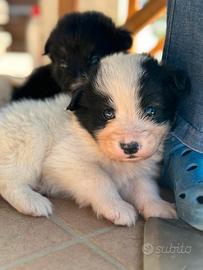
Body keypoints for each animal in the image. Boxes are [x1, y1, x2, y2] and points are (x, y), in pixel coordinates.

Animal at [0, 53, 187, 226]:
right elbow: (99, 178)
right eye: (108, 113)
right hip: (30, 136)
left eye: (151, 110)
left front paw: (157, 206)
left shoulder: (136, 170)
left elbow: (145, 188)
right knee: (8, 179)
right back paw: (32, 202)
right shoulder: (66, 159)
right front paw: (117, 207)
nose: (130, 147)